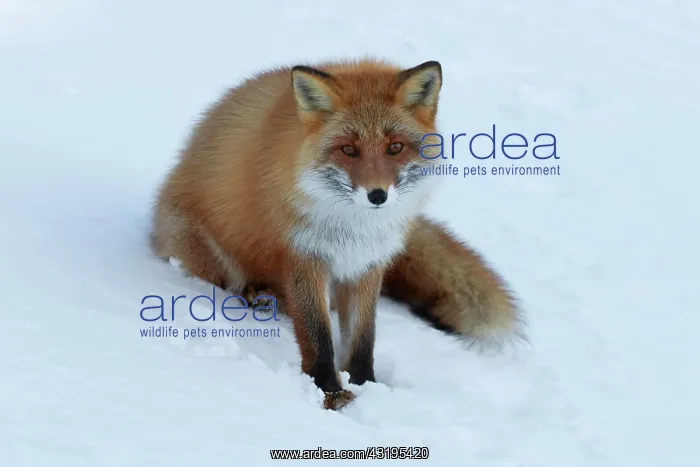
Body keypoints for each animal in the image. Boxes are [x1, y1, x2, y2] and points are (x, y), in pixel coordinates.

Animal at [150, 58, 522, 410]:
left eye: (395, 147)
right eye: (348, 149)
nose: (377, 195)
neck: (354, 229)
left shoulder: (368, 263)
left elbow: (362, 339)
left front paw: (366, 385)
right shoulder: (304, 256)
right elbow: (317, 335)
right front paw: (329, 392)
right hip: (212, 258)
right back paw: (259, 296)